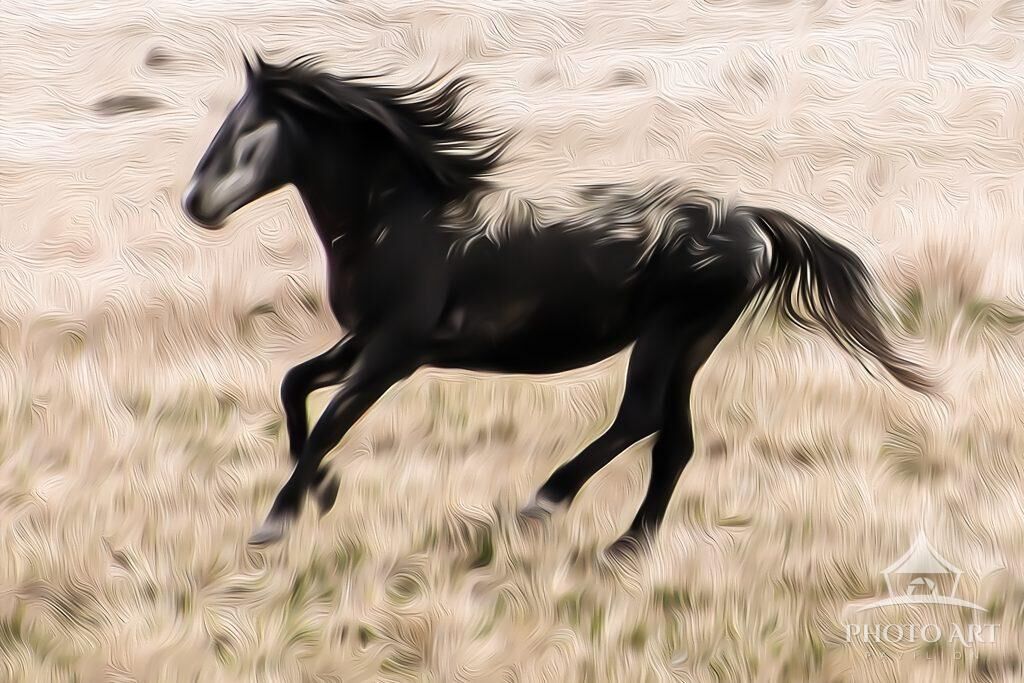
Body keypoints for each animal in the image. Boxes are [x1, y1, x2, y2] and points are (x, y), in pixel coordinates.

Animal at [182, 53, 932, 554]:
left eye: (247, 130)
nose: (195, 204)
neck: (400, 221)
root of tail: (749, 219)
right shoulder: (364, 339)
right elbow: (295, 385)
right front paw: (324, 491)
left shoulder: (396, 351)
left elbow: (333, 418)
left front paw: (277, 520)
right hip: (692, 344)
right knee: (676, 439)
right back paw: (628, 546)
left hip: (671, 331)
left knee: (640, 417)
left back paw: (544, 502)